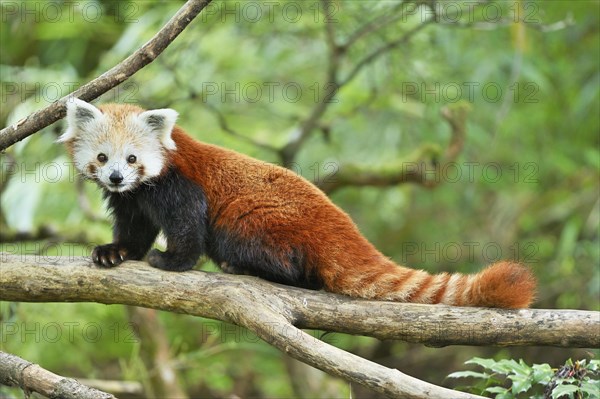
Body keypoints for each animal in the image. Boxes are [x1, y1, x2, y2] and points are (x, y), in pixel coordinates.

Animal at [58, 99, 536, 310]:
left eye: (132, 159)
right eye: (102, 158)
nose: (116, 177)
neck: (144, 185)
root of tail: (338, 222)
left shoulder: (179, 185)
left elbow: (188, 224)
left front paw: (172, 261)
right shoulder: (134, 199)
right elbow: (133, 227)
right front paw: (116, 252)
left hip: (261, 222)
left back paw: (248, 267)